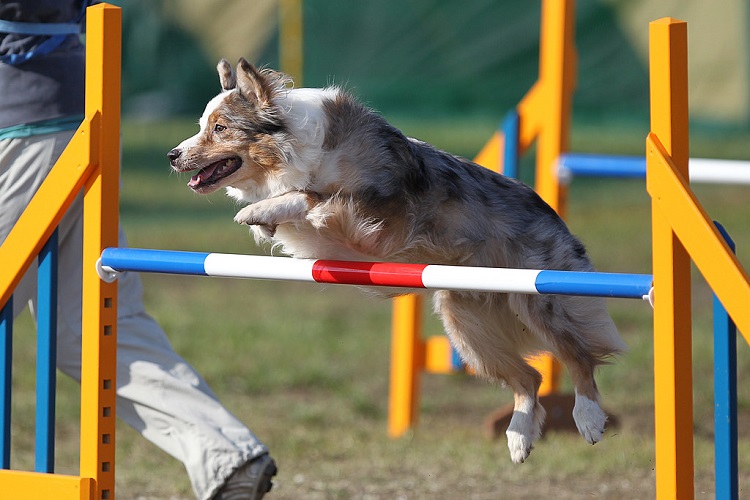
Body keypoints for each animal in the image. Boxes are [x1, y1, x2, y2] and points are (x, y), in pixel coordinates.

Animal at [167, 59, 624, 464]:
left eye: (220, 128)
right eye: (201, 125)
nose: (172, 155)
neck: (296, 149)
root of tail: (552, 213)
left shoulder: (384, 220)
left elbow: (313, 196)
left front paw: (261, 209)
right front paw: (266, 217)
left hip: (538, 296)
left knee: (579, 355)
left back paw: (588, 419)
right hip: (465, 321)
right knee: (531, 378)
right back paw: (518, 438)